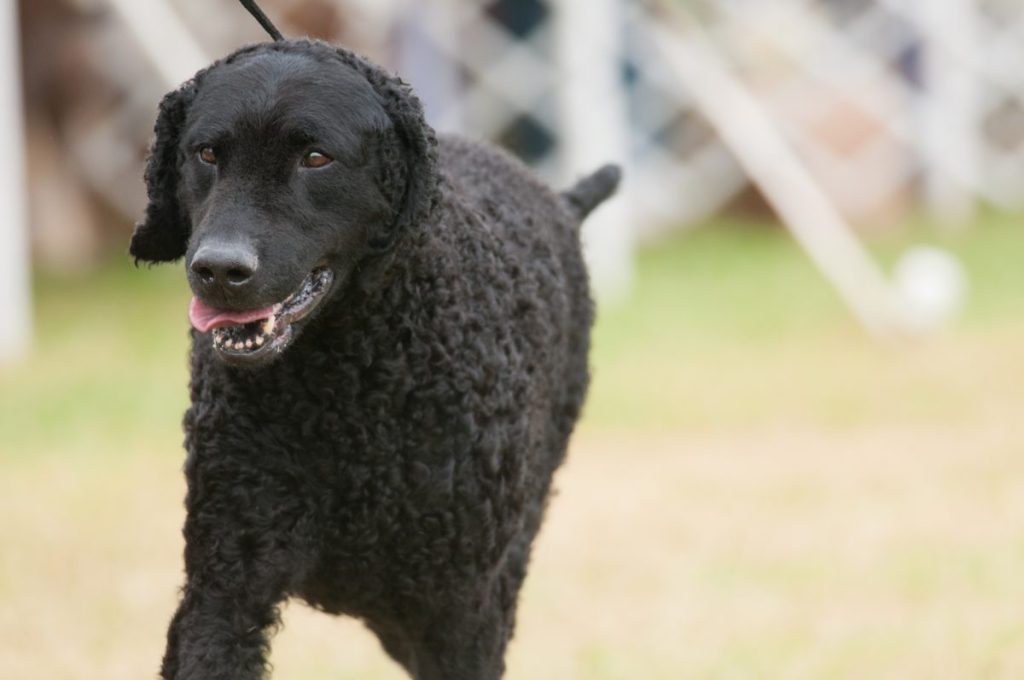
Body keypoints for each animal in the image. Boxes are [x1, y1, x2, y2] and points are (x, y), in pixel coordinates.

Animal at [132, 29, 618, 675]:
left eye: (316, 158)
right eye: (207, 153)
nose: (218, 269)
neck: (345, 392)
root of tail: (558, 199)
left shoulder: (461, 610)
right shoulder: (225, 578)